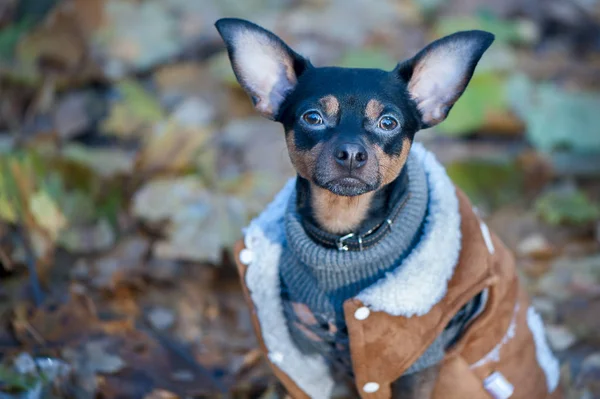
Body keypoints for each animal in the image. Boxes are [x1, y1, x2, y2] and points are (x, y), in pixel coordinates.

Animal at [216, 17, 564, 398]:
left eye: (388, 123)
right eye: (313, 118)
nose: (352, 153)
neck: (345, 240)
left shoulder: (421, 361)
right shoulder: (319, 352)